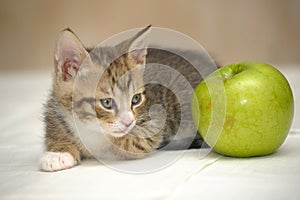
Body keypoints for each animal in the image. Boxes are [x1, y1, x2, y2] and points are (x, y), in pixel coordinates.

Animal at [40, 25, 204, 172]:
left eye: (136, 99)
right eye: (107, 102)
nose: (128, 122)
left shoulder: (154, 122)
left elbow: (129, 142)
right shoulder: (54, 112)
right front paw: (59, 152)